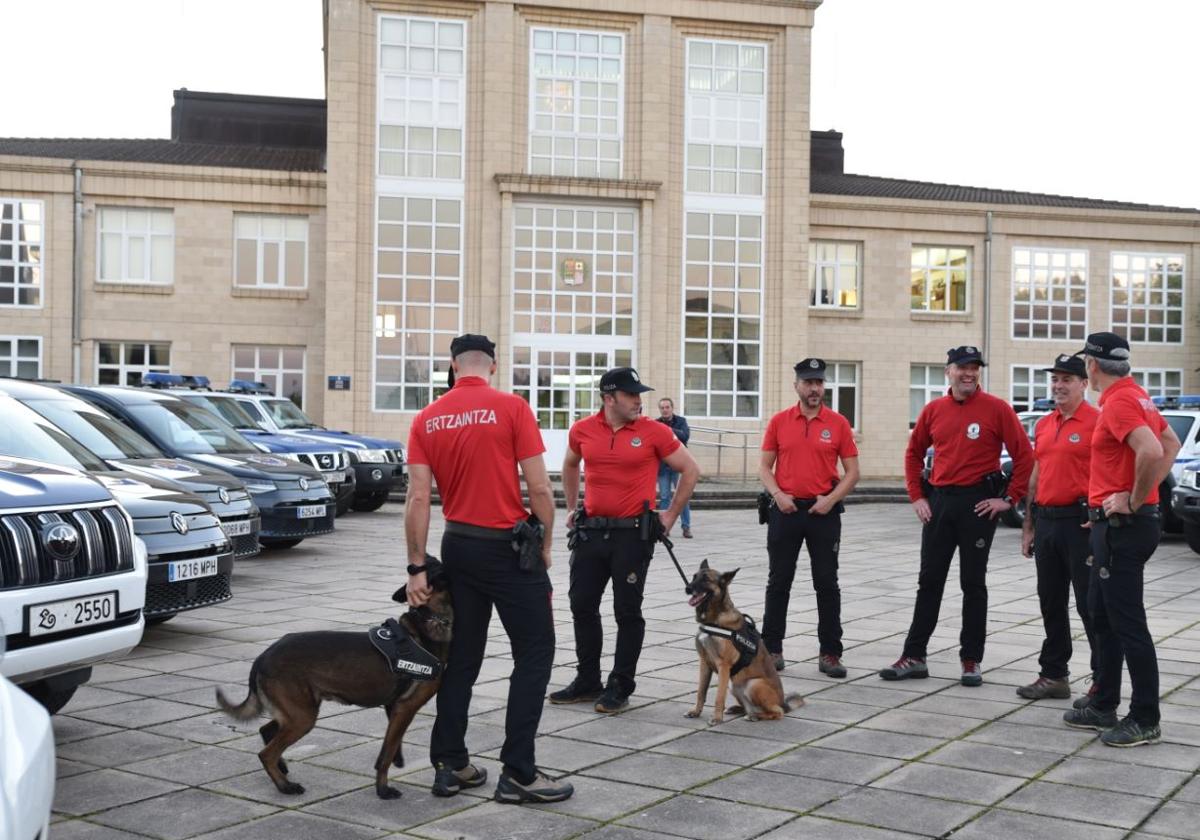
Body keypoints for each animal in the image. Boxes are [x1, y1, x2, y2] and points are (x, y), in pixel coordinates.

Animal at [213, 561, 451, 796]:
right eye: (435, 570)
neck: (428, 622)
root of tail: (262, 657)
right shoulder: (405, 708)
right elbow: (386, 753)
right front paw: (383, 790)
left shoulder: (394, 708)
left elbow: (392, 746)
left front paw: (396, 763)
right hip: (302, 717)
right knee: (266, 753)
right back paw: (285, 786)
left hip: (297, 712)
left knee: (266, 730)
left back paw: (282, 768)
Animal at [691, 561, 801, 724]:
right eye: (694, 577)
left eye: (706, 579)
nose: (687, 588)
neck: (714, 619)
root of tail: (783, 703)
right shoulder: (704, 663)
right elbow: (701, 691)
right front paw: (696, 711)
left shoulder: (723, 666)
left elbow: (719, 696)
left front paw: (717, 718)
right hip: (734, 685)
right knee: (750, 707)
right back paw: (739, 710)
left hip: (753, 684)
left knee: (777, 712)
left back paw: (755, 716)